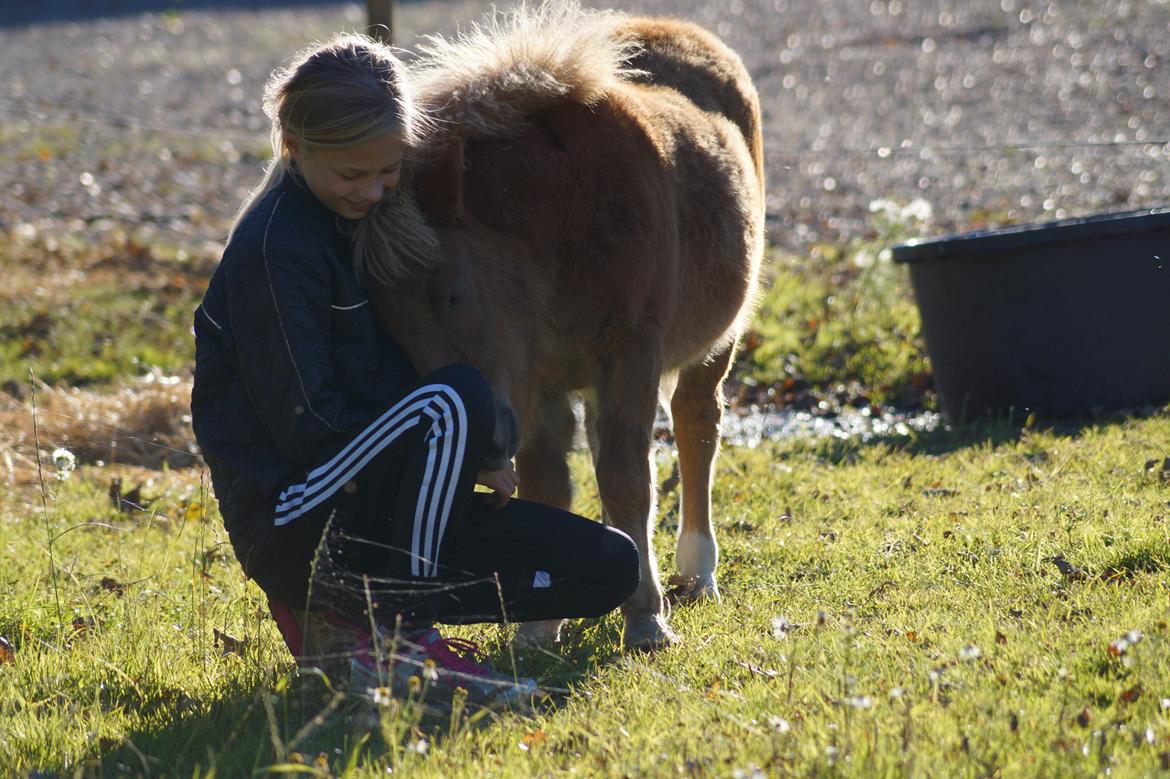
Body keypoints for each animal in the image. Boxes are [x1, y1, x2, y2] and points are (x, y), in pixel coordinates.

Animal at [358, 3, 767, 645]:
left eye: (454, 293)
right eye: (390, 328)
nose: (483, 447)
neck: (563, 216)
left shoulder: (630, 354)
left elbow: (627, 479)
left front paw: (646, 619)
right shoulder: (537, 377)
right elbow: (549, 483)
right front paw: (540, 625)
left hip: (713, 345)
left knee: (696, 427)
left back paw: (696, 570)